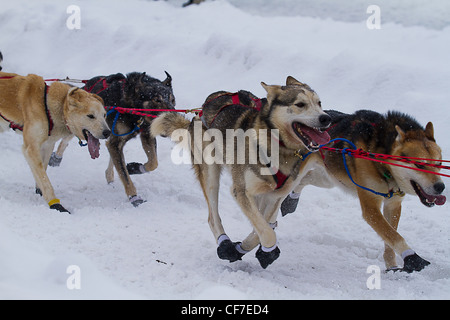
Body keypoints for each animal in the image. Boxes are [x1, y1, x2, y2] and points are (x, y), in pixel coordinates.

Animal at [0, 72, 111, 212]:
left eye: (104, 115)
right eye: (91, 116)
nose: (108, 132)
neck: (47, 107)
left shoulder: (47, 145)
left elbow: (42, 171)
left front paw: (40, 191)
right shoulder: (31, 148)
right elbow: (45, 180)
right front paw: (55, 204)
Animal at [153, 75, 332, 268]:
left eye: (319, 103)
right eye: (300, 104)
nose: (326, 118)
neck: (277, 146)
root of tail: (200, 112)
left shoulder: (274, 196)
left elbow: (262, 226)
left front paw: (249, 248)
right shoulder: (241, 191)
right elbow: (267, 232)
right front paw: (264, 250)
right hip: (211, 175)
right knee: (212, 216)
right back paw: (224, 243)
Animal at [284, 110, 444, 272]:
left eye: (439, 164)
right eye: (419, 164)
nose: (440, 187)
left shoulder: (393, 204)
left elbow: (390, 237)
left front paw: (392, 266)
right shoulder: (371, 207)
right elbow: (394, 236)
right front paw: (413, 259)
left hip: (328, 178)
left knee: (304, 180)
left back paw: (291, 201)